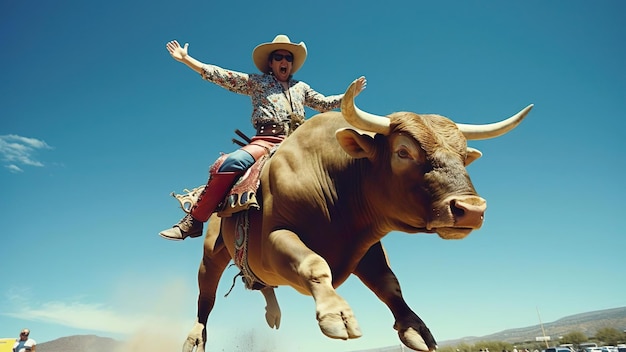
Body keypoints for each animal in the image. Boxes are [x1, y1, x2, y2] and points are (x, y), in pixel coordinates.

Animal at [183, 81, 528, 350]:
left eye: (464, 156)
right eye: (403, 152)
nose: (472, 209)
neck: (334, 177)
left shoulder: (367, 246)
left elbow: (389, 283)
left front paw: (415, 327)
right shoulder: (273, 239)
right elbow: (313, 263)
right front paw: (338, 315)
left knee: (258, 284)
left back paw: (273, 312)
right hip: (213, 253)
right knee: (206, 296)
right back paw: (195, 336)